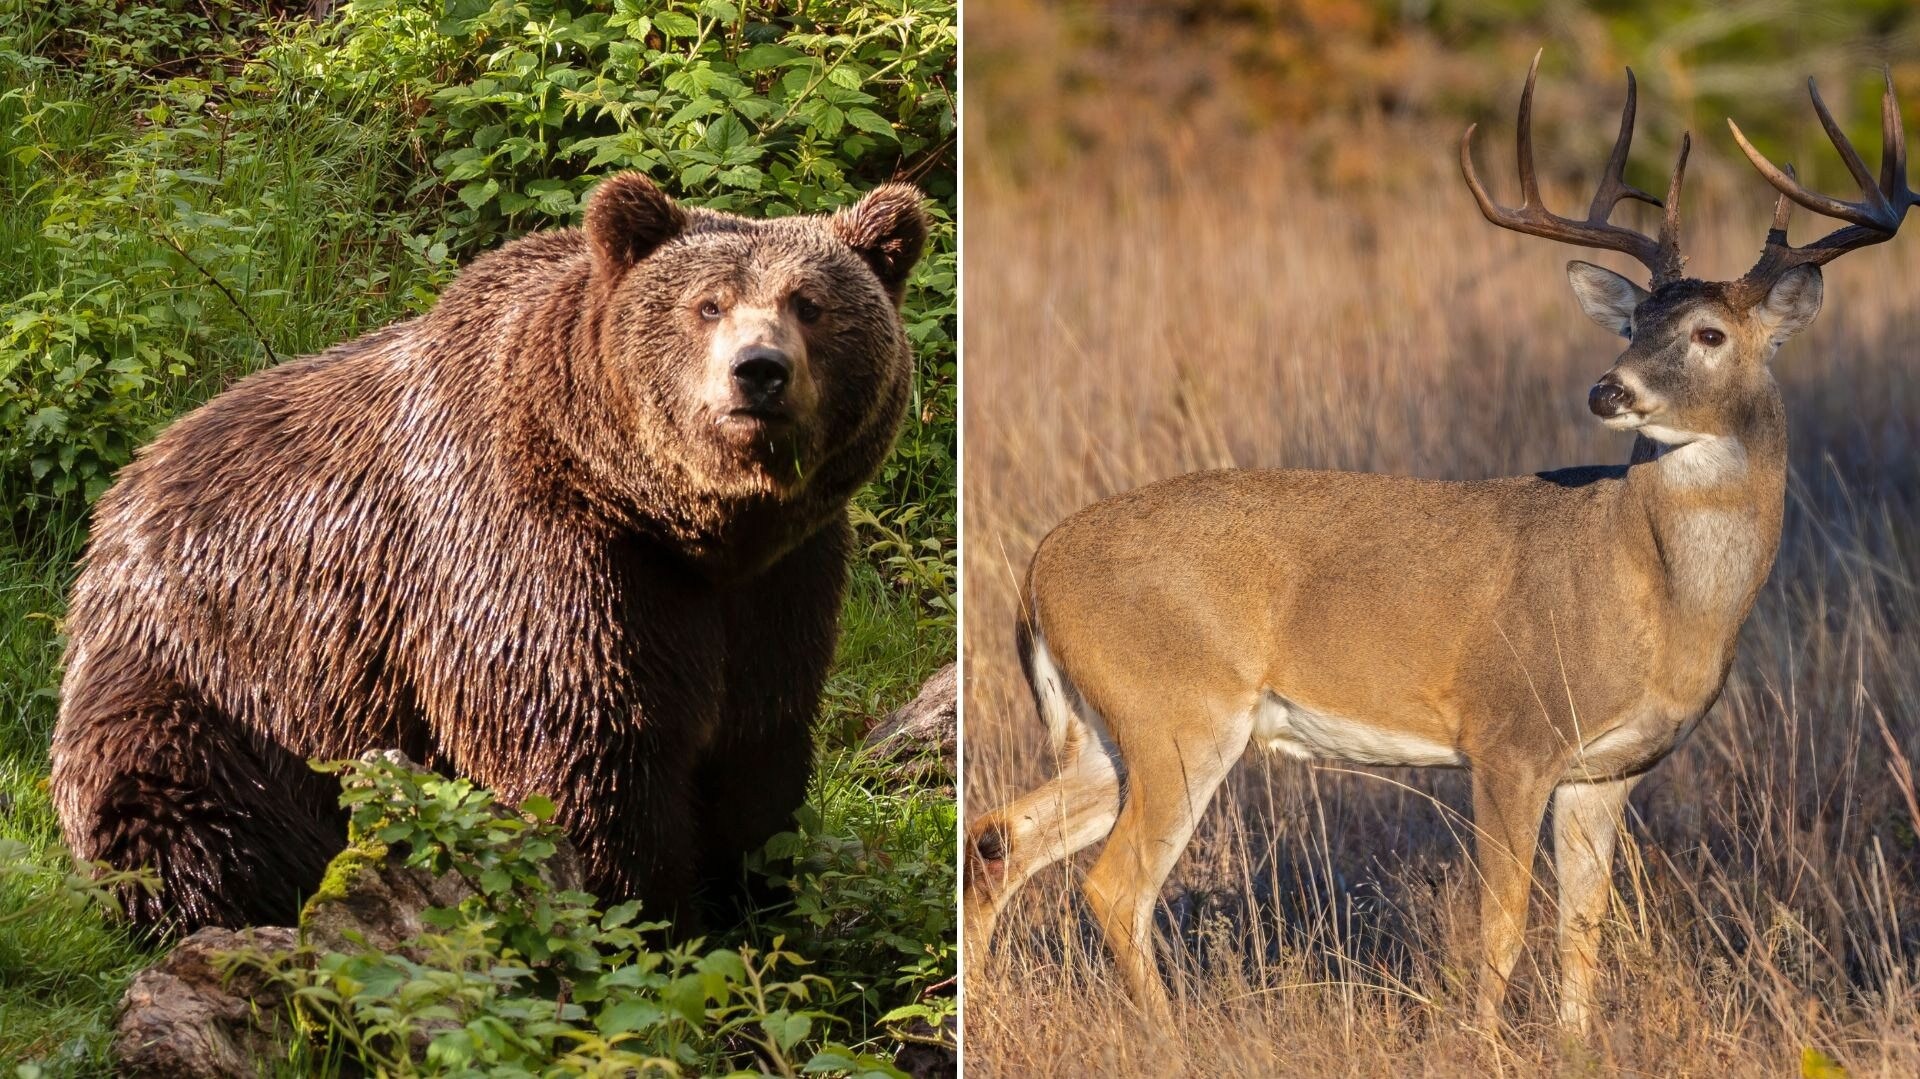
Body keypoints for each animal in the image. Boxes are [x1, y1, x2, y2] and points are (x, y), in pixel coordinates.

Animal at [46, 171, 929, 929]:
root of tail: (126, 487)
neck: (680, 520)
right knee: (175, 804)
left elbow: (757, 748)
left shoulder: (781, 581)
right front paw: (645, 914)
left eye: (810, 304)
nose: (759, 372)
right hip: (214, 676)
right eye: (707, 304)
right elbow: (585, 753)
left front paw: (753, 904)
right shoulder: (543, 557)